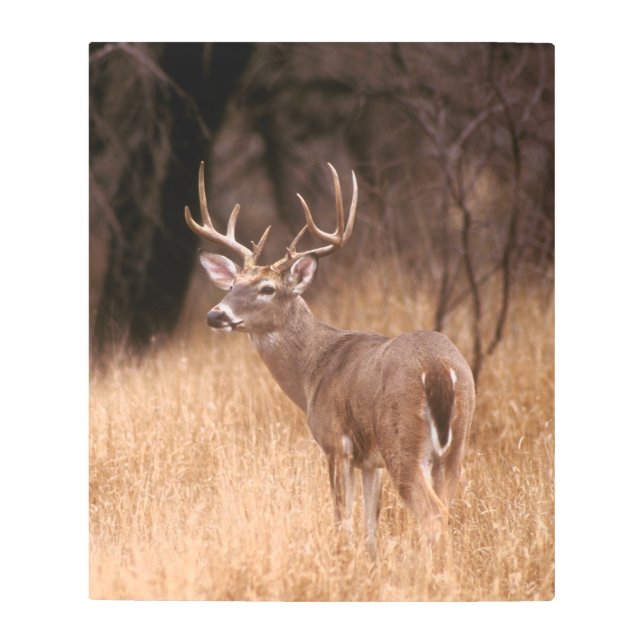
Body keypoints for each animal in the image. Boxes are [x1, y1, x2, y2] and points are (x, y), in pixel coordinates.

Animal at [185, 161, 475, 558]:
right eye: (232, 285)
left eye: (267, 289)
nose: (216, 315)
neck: (312, 372)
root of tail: (439, 368)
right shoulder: (369, 461)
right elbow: (370, 523)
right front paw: (370, 563)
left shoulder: (336, 442)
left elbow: (342, 519)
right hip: (456, 444)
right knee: (447, 511)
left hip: (402, 440)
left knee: (433, 516)